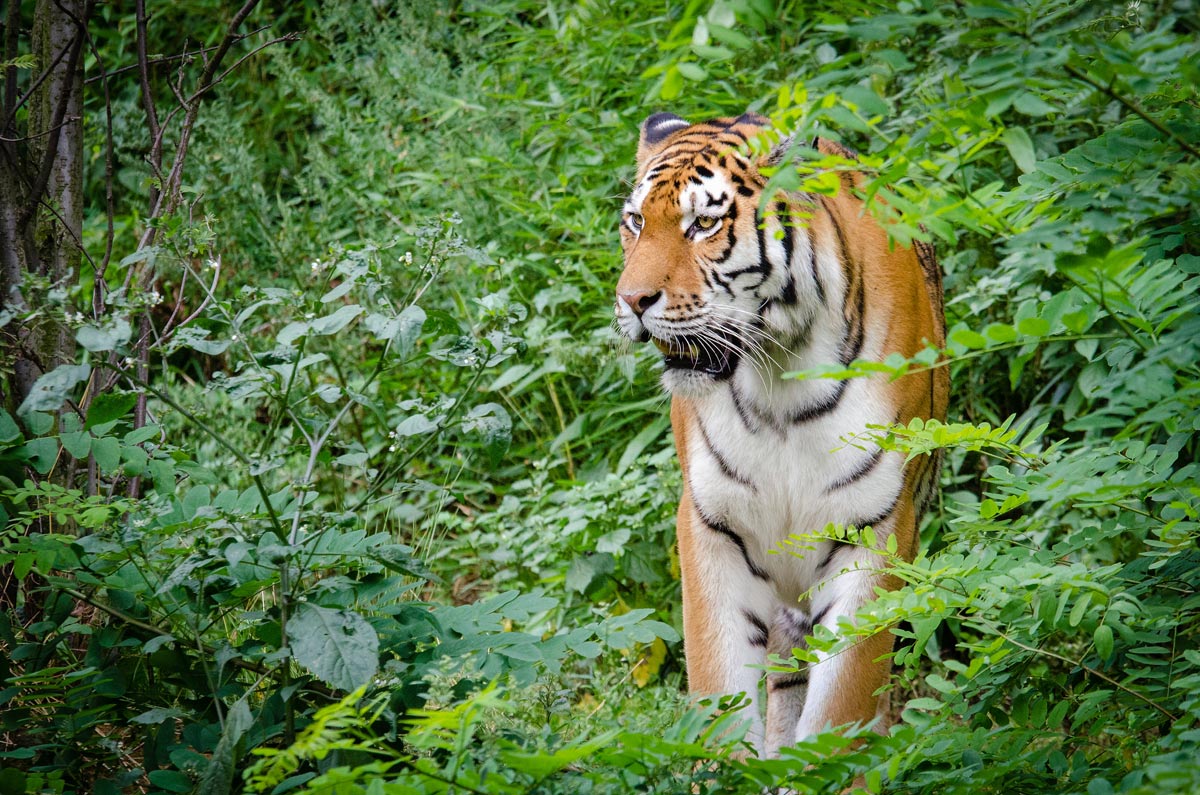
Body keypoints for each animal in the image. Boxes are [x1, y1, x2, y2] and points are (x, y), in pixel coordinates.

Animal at [619, 112, 945, 758]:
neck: (778, 381)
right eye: (636, 222)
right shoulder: (710, 526)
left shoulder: (875, 529)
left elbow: (840, 708)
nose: (632, 301)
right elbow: (719, 695)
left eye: (704, 223)